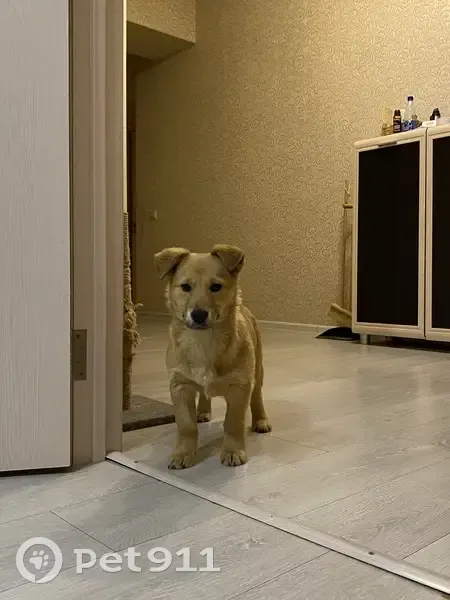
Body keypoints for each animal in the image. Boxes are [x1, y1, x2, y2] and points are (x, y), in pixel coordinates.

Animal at [154, 244, 272, 469]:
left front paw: (233, 451)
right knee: (204, 394)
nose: (198, 315)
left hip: (258, 371)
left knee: (257, 396)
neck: (203, 342)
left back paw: (261, 420)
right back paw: (202, 411)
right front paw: (183, 453)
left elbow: (233, 422)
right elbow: (186, 425)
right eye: (185, 287)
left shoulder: (239, 387)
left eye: (216, 287)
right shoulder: (180, 386)